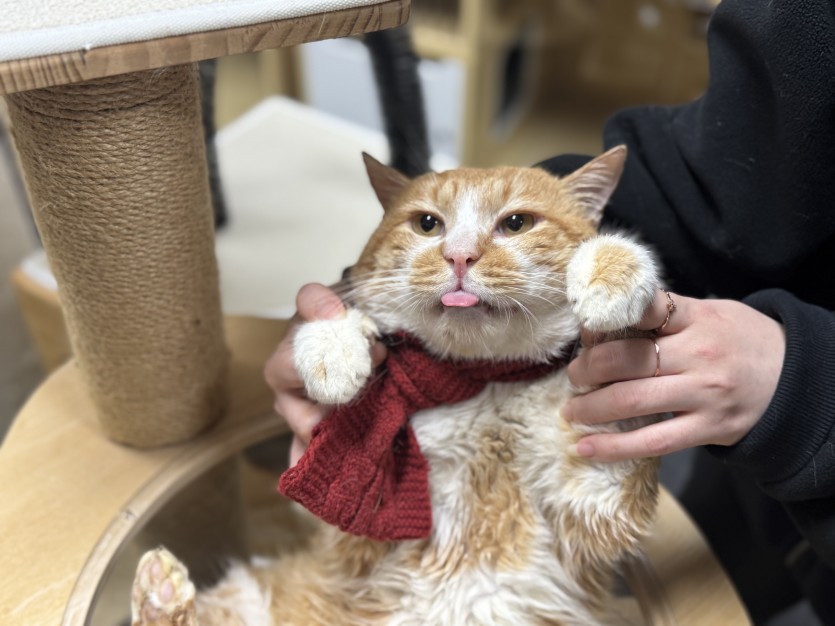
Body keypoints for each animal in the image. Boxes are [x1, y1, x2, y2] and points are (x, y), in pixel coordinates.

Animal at [131, 145, 661, 626]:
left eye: (516, 224)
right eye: (427, 224)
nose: (459, 256)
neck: (480, 384)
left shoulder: (592, 499)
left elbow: (623, 418)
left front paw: (613, 276)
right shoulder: (358, 536)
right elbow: (354, 321)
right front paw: (334, 349)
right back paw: (161, 594)